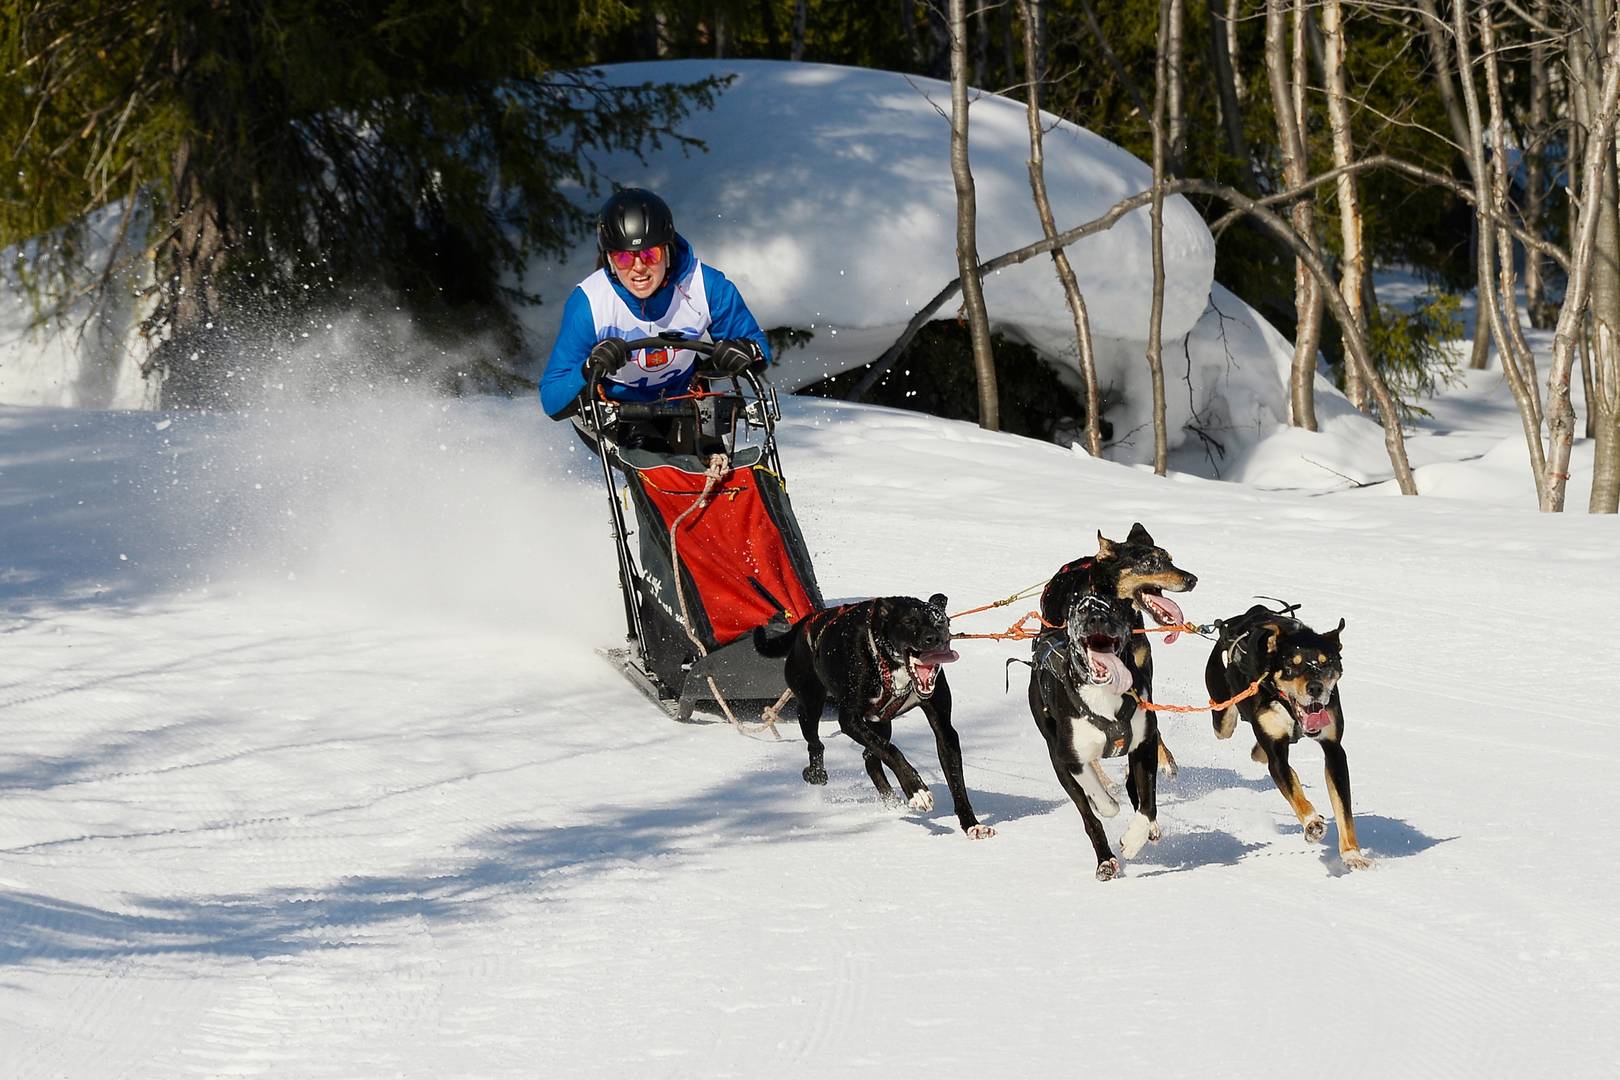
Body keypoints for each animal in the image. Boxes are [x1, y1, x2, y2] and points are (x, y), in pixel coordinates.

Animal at [751, 595, 991, 841]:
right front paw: (916, 789)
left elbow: (955, 781)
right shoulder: (849, 720)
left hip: (882, 722)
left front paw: (971, 824)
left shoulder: (944, 728)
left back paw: (891, 800)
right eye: (910, 621)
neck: (891, 665)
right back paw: (815, 773)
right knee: (817, 744)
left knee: (870, 757)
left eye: (941, 621)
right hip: (810, 705)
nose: (934, 638)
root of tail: (808, 620)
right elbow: (892, 751)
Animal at [1211, 608, 1373, 867]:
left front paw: (1352, 853)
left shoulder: (1334, 750)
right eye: (1291, 665)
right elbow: (1296, 794)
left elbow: (1343, 809)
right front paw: (1312, 823)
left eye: (1326, 663)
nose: (1315, 688)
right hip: (1223, 720)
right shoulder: (1277, 756)